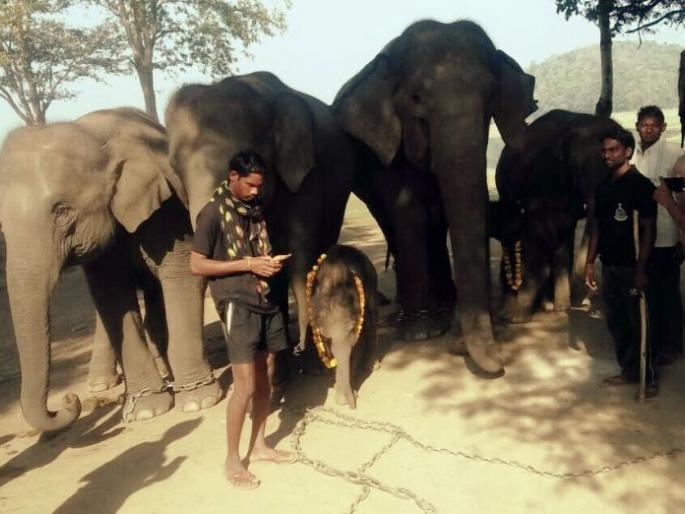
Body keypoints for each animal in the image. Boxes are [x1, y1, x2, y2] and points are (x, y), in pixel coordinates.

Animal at [0, 108, 220, 432]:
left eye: (62, 211)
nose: (68, 402)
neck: (93, 136)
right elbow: (111, 294)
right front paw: (148, 410)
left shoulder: (165, 206)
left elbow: (181, 275)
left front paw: (197, 402)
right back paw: (101, 385)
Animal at [307, 245, 378, 409]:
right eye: (327, 337)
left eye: (352, 330)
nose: (353, 406)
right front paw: (341, 397)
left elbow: (356, 347)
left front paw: (342, 399)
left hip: (372, 280)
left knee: (372, 318)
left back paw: (373, 365)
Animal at [332, 19, 537, 374]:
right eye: (415, 98)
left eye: (491, 98)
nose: (500, 360)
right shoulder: (389, 149)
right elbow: (407, 210)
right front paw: (421, 333)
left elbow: (462, 206)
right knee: (390, 221)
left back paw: (444, 300)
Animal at [494, 109, 623, 322]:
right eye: (574, 168)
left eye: (610, 166)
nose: (587, 300)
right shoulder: (541, 179)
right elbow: (537, 229)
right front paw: (520, 317)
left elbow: (564, 227)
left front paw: (562, 307)